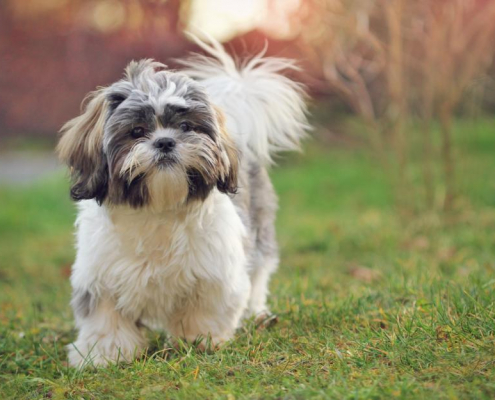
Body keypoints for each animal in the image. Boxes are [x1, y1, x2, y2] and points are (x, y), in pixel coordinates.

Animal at [58, 36, 310, 368]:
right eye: (137, 131)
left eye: (187, 127)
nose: (165, 141)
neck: (158, 209)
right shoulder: (99, 276)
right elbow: (105, 318)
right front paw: (104, 353)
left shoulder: (215, 271)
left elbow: (205, 309)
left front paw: (199, 340)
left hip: (259, 233)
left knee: (258, 276)